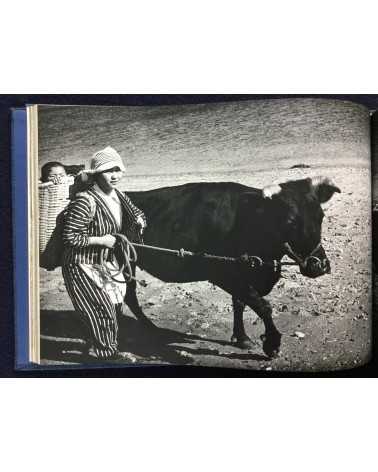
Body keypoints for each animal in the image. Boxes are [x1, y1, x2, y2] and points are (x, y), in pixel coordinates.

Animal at [123, 177, 340, 358]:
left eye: (321, 216)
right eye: (290, 221)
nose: (320, 265)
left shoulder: (244, 274)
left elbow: (240, 303)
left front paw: (241, 338)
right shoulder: (223, 274)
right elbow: (263, 306)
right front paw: (272, 343)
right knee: (130, 296)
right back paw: (150, 328)